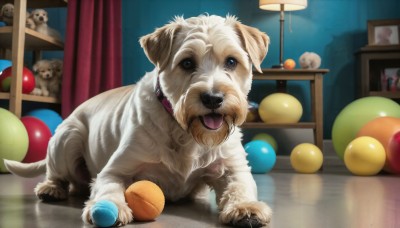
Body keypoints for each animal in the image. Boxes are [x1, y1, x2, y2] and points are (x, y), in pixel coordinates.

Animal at [3, 15, 272, 227]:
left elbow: (240, 186)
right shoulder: (115, 170)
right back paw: (50, 188)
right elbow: (109, 185)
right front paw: (109, 206)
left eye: (231, 61)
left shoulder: (233, 168)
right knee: (55, 172)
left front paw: (246, 207)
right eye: (187, 62)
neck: (184, 132)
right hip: (68, 139)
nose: (213, 98)